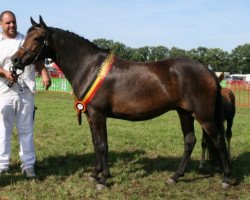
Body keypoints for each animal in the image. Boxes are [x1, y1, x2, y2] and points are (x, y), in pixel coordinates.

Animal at [10, 16, 231, 190]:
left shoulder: (99, 114)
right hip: (184, 112)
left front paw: (103, 180)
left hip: (204, 116)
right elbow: (96, 144)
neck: (89, 67)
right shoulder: (90, 116)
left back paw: (227, 179)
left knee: (219, 140)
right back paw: (175, 177)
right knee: (189, 141)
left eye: (37, 38)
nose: (15, 61)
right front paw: (95, 174)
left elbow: (103, 145)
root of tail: (209, 71)